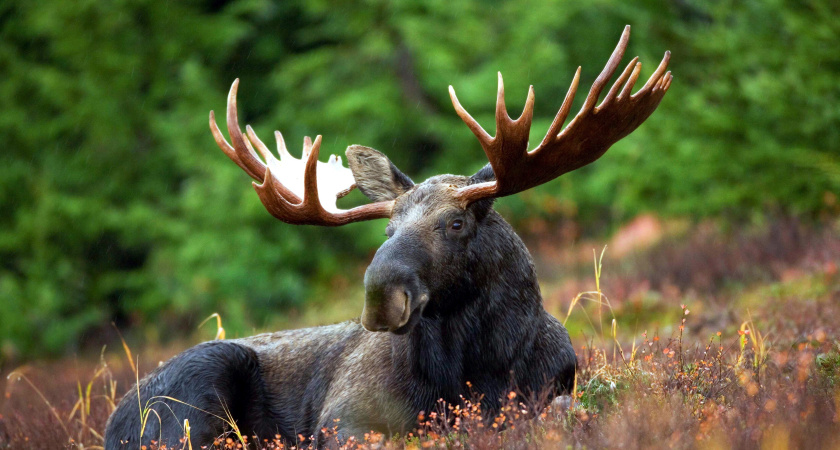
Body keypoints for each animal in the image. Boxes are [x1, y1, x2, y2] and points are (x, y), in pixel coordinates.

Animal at [105, 26, 672, 448]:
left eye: (456, 223)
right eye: (388, 227)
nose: (380, 296)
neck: (478, 370)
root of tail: (113, 421)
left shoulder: (554, 388)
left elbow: (561, 410)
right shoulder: (344, 418)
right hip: (197, 386)